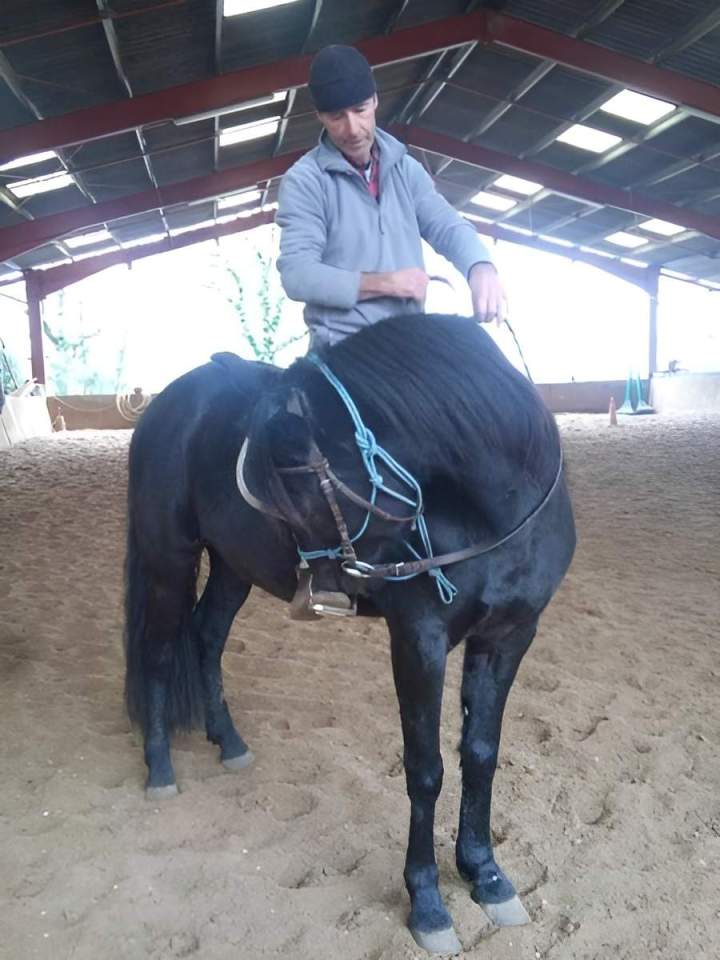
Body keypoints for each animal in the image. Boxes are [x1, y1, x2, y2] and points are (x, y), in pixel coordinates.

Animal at [124, 312, 575, 954]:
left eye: (295, 468)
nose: (327, 583)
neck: (494, 509)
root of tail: (166, 406)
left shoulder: (509, 637)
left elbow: (482, 755)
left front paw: (485, 874)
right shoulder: (418, 640)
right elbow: (426, 769)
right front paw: (428, 904)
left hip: (234, 565)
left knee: (207, 638)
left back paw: (228, 742)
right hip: (170, 559)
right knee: (160, 654)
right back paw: (160, 768)